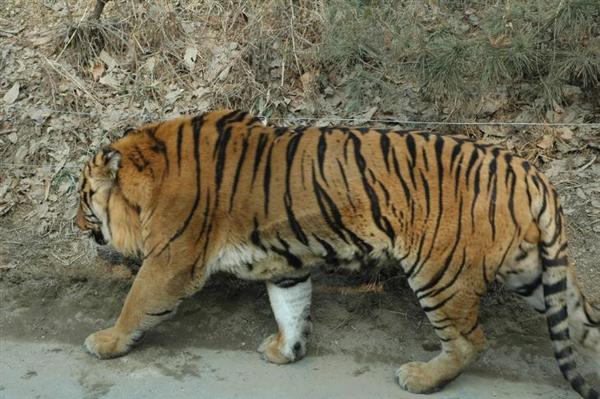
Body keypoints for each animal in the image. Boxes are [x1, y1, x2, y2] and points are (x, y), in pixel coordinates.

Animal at [78, 109, 600, 399]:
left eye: (82, 198)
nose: (77, 226)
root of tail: (530, 171)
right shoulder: (286, 266)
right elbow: (290, 310)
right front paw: (286, 352)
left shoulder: (171, 260)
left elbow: (137, 303)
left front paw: (105, 342)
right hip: (533, 274)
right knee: (586, 322)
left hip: (441, 272)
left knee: (470, 341)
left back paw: (419, 377)